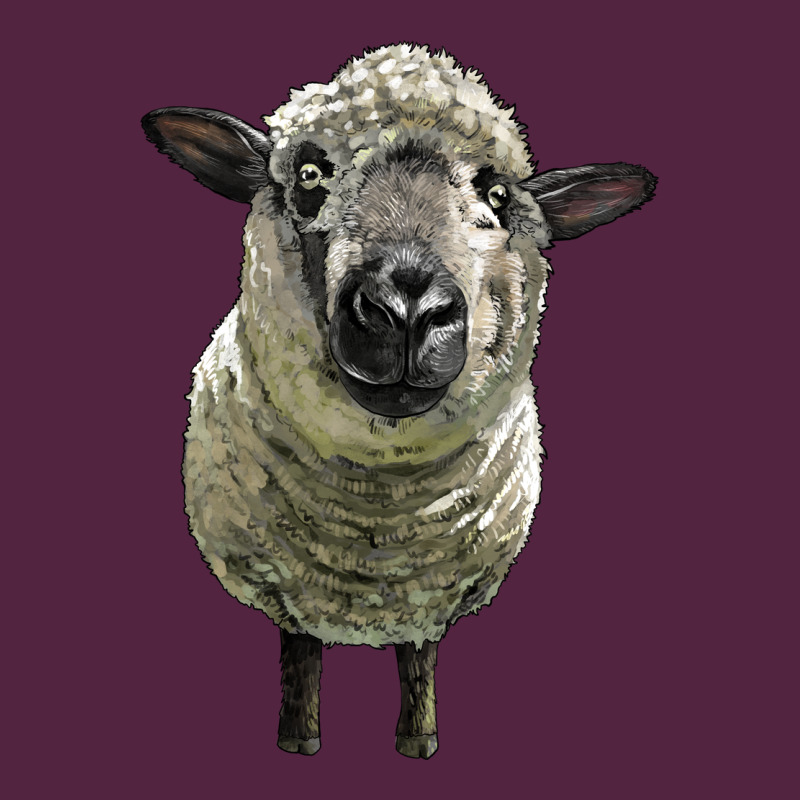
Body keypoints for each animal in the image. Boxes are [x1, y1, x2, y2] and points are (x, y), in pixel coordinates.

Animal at [142, 43, 656, 759]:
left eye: (497, 196)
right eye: (309, 174)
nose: (407, 309)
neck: (376, 524)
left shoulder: (431, 596)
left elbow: (419, 660)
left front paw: (419, 742)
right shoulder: (285, 584)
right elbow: (300, 653)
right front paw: (299, 740)